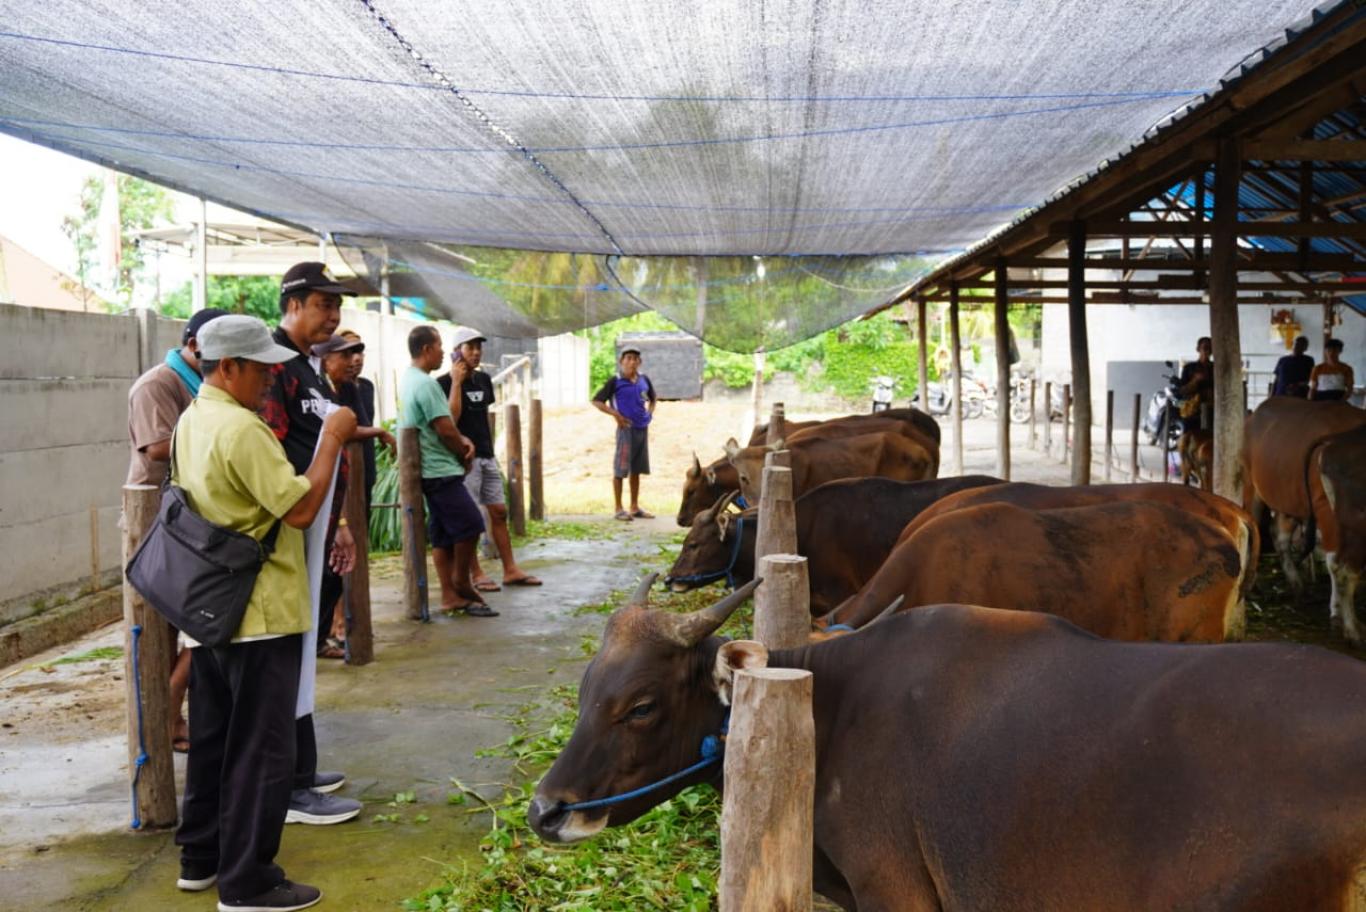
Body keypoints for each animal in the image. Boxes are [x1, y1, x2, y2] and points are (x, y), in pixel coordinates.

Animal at [1244, 398, 1366, 643]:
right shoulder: (1325, 509)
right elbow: (1335, 562)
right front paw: (1337, 614)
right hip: (1252, 486)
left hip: (1288, 499)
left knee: (1279, 535)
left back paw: (1298, 585)